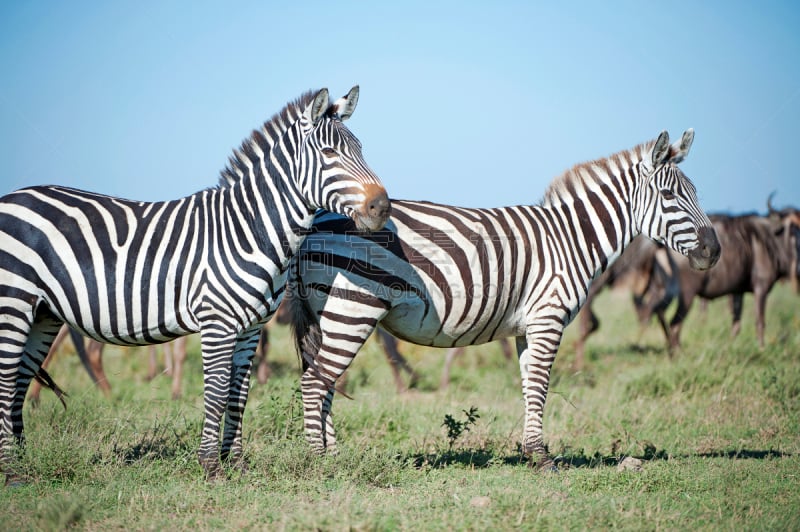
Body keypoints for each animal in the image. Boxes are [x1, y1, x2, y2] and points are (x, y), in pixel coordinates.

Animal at [0, 85, 390, 484]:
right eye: (328, 153)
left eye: (360, 149)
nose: (382, 207)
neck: (248, 230)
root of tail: (12, 197)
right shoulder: (217, 322)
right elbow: (216, 391)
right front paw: (211, 465)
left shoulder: (251, 328)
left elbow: (238, 393)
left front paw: (236, 463)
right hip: (13, 304)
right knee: (6, 381)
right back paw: (11, 471)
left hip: (43, 313)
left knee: (19, 382)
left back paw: (21, 463)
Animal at [286, 128, 720, 470]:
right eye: (669, 195)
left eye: (696, 193)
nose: (713, 251)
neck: (570, 239)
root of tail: (316, 222)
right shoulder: (548, 318)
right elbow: (541, 385)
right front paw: (542, 458)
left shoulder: (529, 327)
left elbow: (530, 386)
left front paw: (531, 452)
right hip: (352, 308)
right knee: (314, 381)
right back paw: (319, 460)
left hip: (328, 313)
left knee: (323, 381)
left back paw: (333, 454)